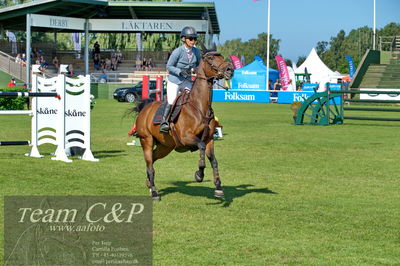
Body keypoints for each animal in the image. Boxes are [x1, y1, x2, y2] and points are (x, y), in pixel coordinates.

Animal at [134, 44, 234, 201]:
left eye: (222, 57)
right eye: (211, 58)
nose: (230, 69)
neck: (199, 107)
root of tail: (145, 109)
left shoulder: (209, 139)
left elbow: (214, 161)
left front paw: (218, 188)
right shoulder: (187, 137)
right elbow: (201, 147)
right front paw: (199, 174)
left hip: (165, 147)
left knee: (153, 160)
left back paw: (149, 184)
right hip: (146, 140)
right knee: (150, 164)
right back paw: (154, 192)